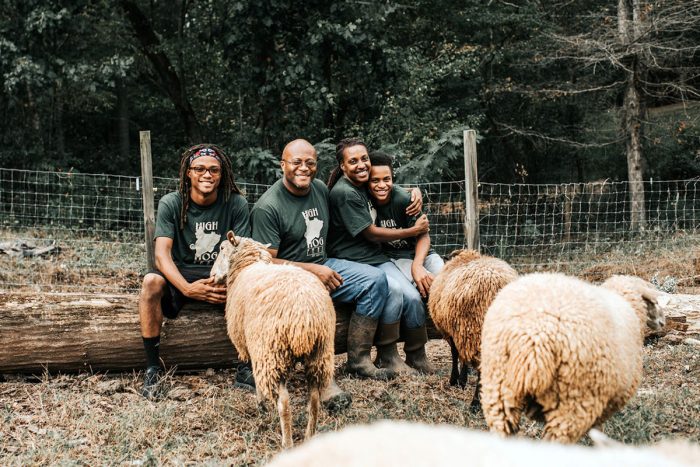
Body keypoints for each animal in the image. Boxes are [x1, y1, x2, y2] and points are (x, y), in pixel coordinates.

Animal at [209, 232, 334, 448]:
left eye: (222, 248)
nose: (211, 275)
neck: (247, 266)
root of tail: (305, 315)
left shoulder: (253, 345)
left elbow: (253, 371)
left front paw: (261, 404)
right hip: (320, 354)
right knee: (314, 400)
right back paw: (309, 436)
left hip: (273, 352)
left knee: (284, 403)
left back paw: (287, 442)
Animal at [482, 272, 668, 444]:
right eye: (654, 303)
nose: (664, 323)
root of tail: (535, 336)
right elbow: (598, 429)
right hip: (574, 401)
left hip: (498, 390)